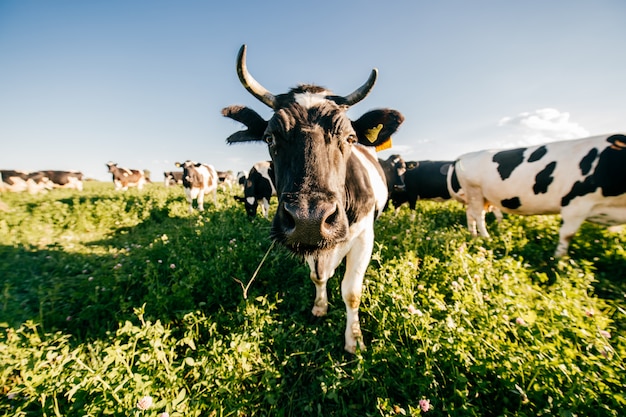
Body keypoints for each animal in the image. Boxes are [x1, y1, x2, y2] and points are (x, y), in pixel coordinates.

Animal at [222, 44, 402, 352]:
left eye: (350, 138)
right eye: (269, 137)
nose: (309, 219)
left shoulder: (364, 236)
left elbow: (351, 291)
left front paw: (354, 339)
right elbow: (318, 275)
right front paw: (319, 307)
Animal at [450, 133, 624, 256]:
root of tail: (463, 156)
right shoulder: (575, 203)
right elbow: (567, 235)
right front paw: (559, 263)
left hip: (479, 197)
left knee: (471, 214)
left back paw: (474, 236)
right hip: (474, 191)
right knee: (479, 216)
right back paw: (486, 237)